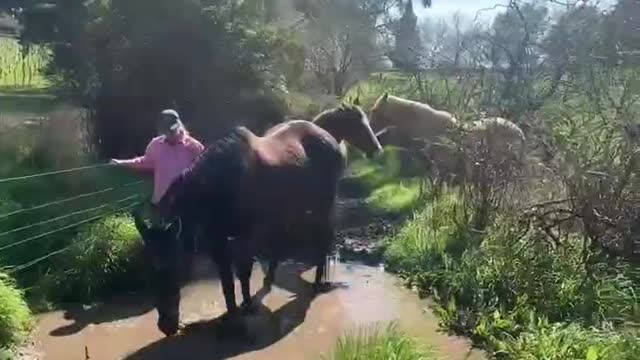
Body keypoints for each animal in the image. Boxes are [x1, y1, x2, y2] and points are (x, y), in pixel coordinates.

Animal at [136, 106, 380, 334]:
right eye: (148, 272)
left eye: (174, 268)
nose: (166, 326)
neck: (220, 185)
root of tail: (327, 136)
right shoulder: (217, 240)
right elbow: (226, 281)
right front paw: (231, 315)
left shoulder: (246, 237)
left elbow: (243, 272)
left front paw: (247, 307)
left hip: (323, 205)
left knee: (322, 241)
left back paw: (318, 283)